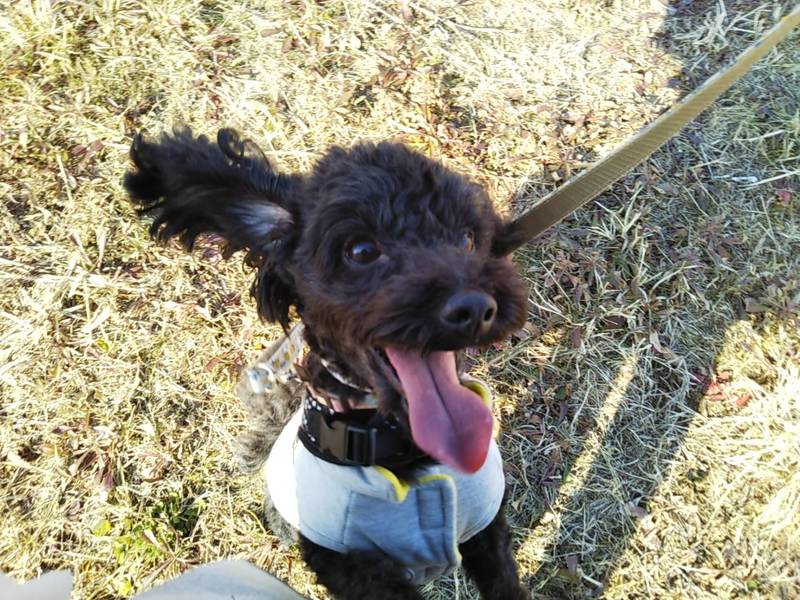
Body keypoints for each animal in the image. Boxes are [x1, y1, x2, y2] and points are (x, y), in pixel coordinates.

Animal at [124, 127, 529, 600]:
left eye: (467, 238)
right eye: (361, 249)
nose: (474, 308)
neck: (403, 453)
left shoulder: (487, 523)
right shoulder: (349, 566)